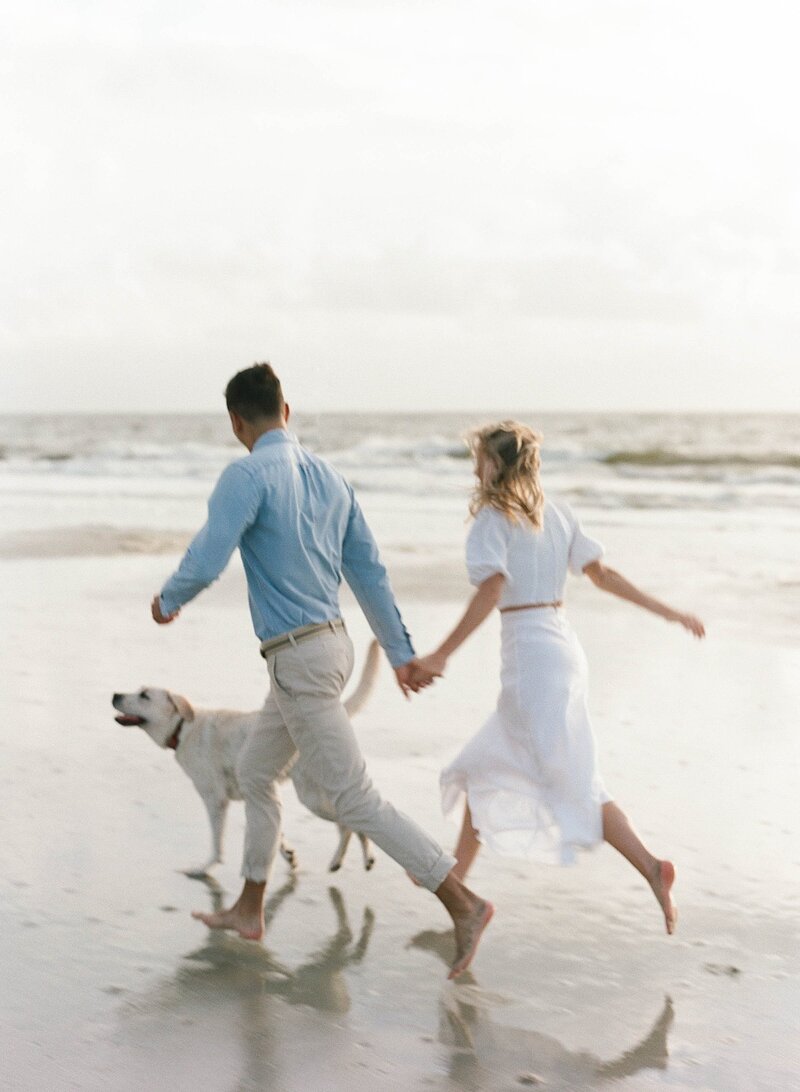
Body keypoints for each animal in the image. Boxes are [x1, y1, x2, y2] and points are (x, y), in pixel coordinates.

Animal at [111, 637, 379, 877]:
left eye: (144, 695)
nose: (115, 695)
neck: (182, 727)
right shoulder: (258, 794)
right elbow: (276, 834)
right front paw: (287, 855)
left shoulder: (215, 799)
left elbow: (216, 844)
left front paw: (203, 868)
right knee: (350, 824)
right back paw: (359, 859)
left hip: (312, 797)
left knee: (348, 824)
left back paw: (343, 859)